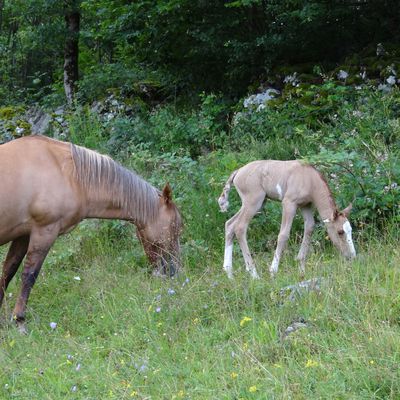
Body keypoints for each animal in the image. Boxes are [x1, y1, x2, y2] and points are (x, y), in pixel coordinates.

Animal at [0, 136, 182, 332]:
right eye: (175, 227)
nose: (175, 272)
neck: (68, 173)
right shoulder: (44, 231)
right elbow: (29, 275)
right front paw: (19, 319)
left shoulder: (24, 234)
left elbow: (8, 271)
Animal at [219, 161, 356, 280]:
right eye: (340, 232)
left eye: (350, 230)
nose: (352, 256)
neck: (309, 179)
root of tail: (238, 171)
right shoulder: (289, 203)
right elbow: (283, 235)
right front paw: (273, 271)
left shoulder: (306, 205)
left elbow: (309, 229)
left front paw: (301, 269)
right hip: (253, 202)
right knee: (240, 227)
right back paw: (254, 274)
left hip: (257, 203)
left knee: (229, 224)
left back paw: (229, 273)